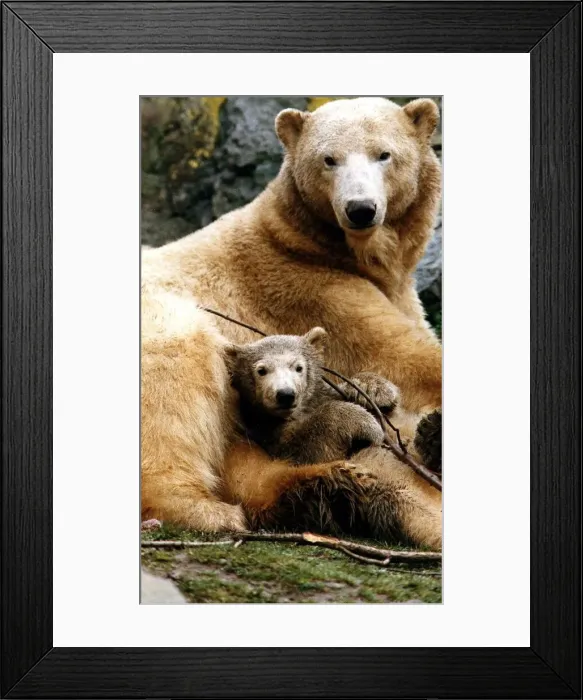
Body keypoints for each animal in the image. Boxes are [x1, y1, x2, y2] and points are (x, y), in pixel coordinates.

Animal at [225, 326, 404, 464]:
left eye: (298, 367)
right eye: (261, 370)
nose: (285, 394)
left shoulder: (321, 394)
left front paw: (375, 389)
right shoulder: (264, 431)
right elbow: (304, 449)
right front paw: (362, 422)